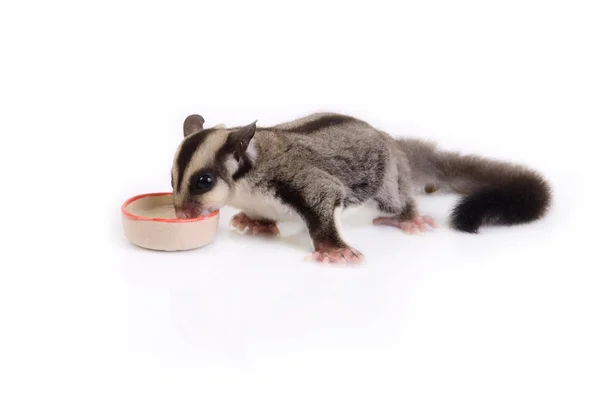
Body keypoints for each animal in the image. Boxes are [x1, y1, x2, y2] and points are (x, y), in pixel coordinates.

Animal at [170, 111, 552, 264]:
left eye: (203, 182)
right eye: (173, 180)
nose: (181, 212)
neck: (245, 183)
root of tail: (391, 140)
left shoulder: (296, 178)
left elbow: (324, 195)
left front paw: (333, 250)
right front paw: (255, 222)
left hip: (388, 178)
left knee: (396, 198)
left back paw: (407, 218)